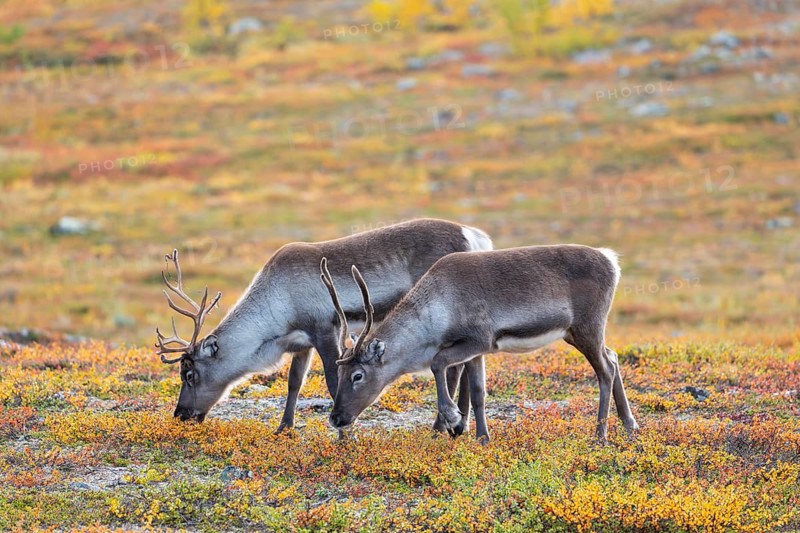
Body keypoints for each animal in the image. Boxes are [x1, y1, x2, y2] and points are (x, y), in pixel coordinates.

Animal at [153, 218, 493, 433]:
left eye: (190, 374)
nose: (180, 414)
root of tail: (476, 236)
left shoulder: (325, 330)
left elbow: (332, 383)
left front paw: (345, 434)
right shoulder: (301, 342)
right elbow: (293, 383)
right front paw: (283, 429)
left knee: (454, 368)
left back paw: (442, 426)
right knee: (464, 365)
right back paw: (459, 426)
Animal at [325, 245, 639, 444]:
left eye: (358, 375)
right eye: (339, 372)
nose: (336, 418)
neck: (438, 311)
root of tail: (612, 261)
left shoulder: (478, 338)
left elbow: (438, 362)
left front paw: (452, 419)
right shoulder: (477, 350)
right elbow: (477, 392)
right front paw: (482, 437)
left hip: (588, 327)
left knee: (605, 370)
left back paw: (600, 435)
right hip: (575, 333)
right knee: (612, 357)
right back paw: (630, 425)